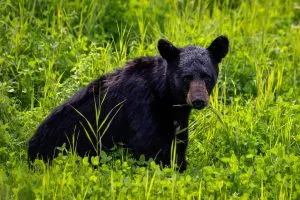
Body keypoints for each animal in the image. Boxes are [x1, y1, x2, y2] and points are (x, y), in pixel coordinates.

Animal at [28, 35, 230, 170]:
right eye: (186, 77)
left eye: (206, 76)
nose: (198, 100)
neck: (165, 97)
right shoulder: (142, 108)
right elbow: (149, 147)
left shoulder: (177, 118)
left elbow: (178, 143)